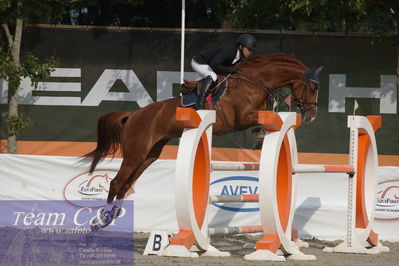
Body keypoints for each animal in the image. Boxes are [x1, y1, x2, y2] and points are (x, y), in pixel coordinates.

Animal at [86, 53, 324, 229]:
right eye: (312, 88)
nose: (312, 116)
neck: (256, 82)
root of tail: (133, 115)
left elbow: (267, 117)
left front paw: (260, 135)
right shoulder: (242, 117)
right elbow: (266, 118)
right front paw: (261, 135)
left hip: (149, 155)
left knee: (126, 185)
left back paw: (111, 217)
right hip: (135, 153)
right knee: (117, 183)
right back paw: (99, 222)